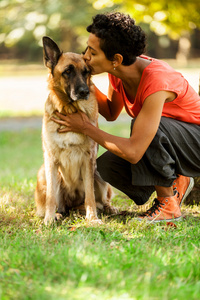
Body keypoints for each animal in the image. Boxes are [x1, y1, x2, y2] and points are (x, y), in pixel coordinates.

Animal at [34, 37, 117, 225]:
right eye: (67, 71)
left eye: (86, 72)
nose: (84, 92)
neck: (69, 109)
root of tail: (71, 205)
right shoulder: (50, 159)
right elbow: (51, 197)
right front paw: (49, 218)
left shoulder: (88, 158)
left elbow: (90, 196)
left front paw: (92, 218)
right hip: (44, 173)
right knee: (59, 204)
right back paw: (57, 214)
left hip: (98, 173)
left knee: (101, 200)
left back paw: (107, 208)